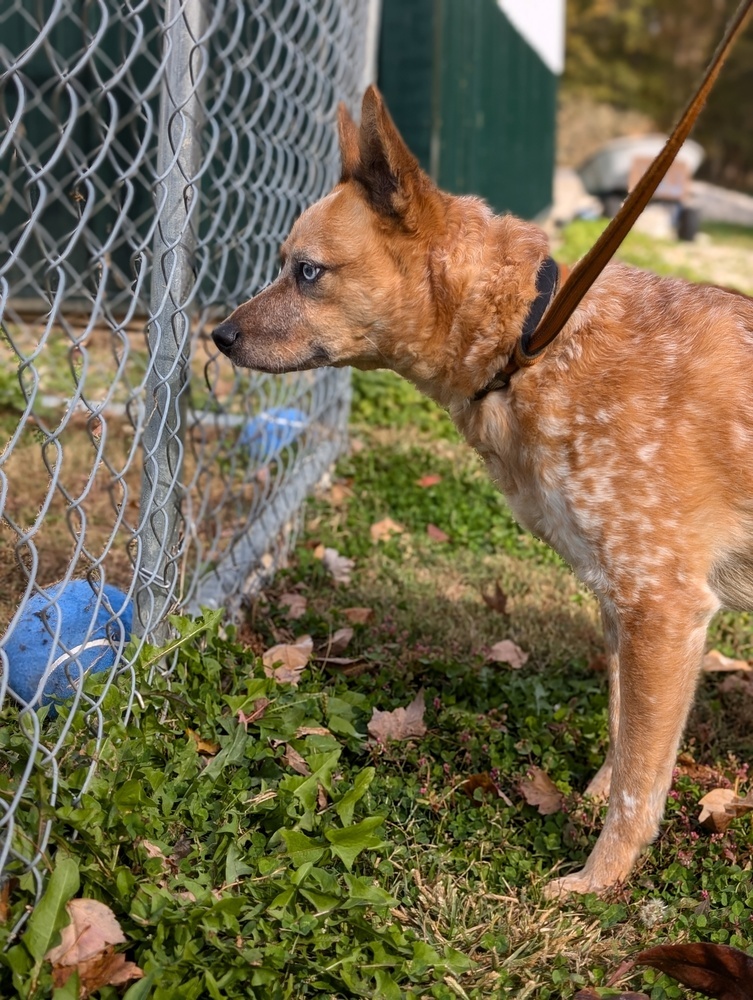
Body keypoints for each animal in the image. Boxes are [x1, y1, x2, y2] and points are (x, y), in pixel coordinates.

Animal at [212, 88, 752, 900]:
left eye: (307, 271)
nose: (218, 336)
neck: (532, 337)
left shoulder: (662, 602)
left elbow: (637, 782)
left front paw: (597, 882)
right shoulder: (620, 601)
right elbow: (625, 736)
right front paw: (595, 796)